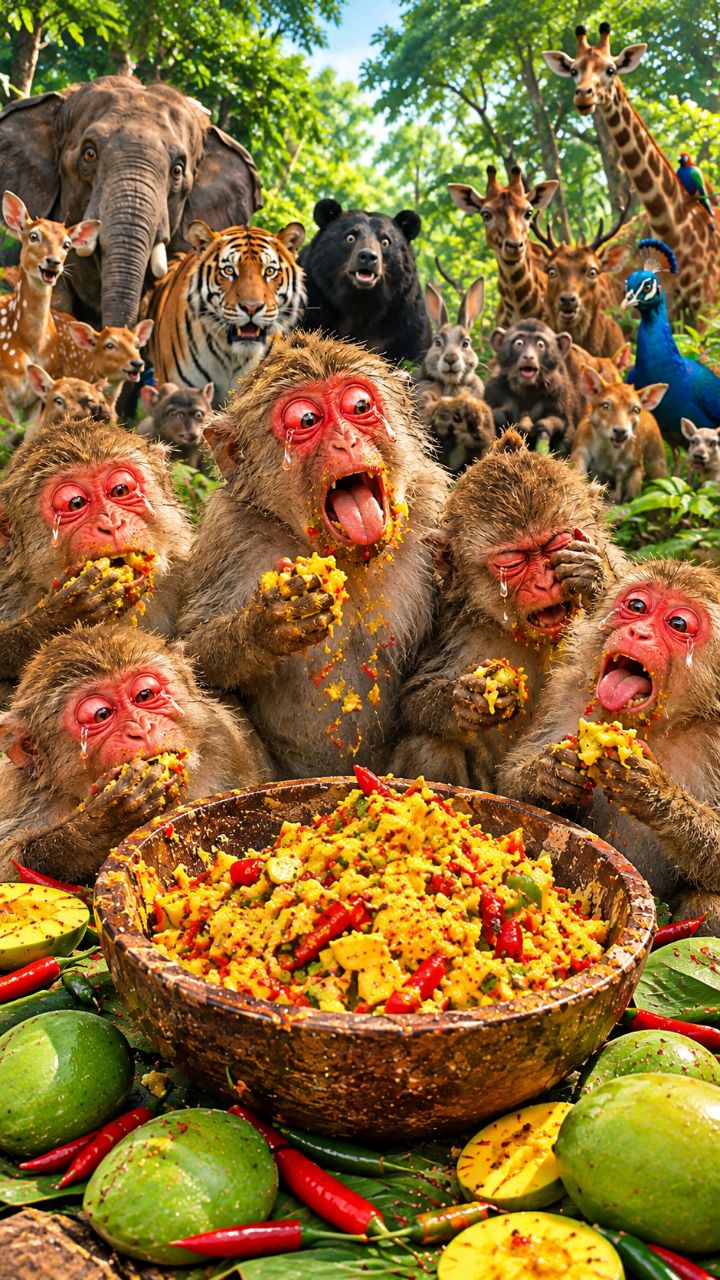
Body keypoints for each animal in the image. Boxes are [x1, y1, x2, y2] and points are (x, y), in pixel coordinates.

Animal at [0, 624, 270, 883]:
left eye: (145, 694)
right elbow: (8, 863)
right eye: (100, 714)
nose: (142, 728)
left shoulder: (224, 743)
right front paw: (103, 823)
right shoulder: (24, 795)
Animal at [177, 330, 448, 778]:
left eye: (360, 406)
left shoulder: (431, 505)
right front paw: (268, 624)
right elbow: (192, 651)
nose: (346, 440)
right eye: (306, 420)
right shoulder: (229, 532)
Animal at [391, 430, 626, 791]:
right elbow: (411, 700)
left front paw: (590, 575)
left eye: (556, 545)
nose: (544, 583)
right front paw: (463, 700)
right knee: (428, 743)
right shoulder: (449, 617)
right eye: (512, 562)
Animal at [484, 319, 583, 452]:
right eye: (519, 343)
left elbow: (561, 420)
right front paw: (500, 416)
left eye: (540, 344)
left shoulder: (559, 389)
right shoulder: (494, 388)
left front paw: (544, 426)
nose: (528, 357)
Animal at [499, 559, 720, 935]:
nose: (637, 633)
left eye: (678, 624)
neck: (654, 727)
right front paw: (550, 772)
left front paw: (653, 790)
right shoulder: (564, 694)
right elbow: (508, 793)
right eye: (637, 606)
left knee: (709, 903)